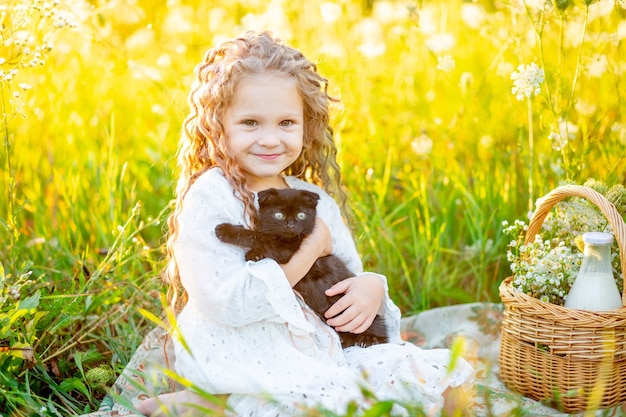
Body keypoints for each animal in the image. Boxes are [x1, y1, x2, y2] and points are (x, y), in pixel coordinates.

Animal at [217, 187, 388, 346]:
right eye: (278, 215)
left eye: (301, 215)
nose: (291, 225)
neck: (288, 239)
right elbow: (264, 236)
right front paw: (255, 255)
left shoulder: (285, 251)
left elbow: (259, 236)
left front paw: (226, 231)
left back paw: (370, 339)